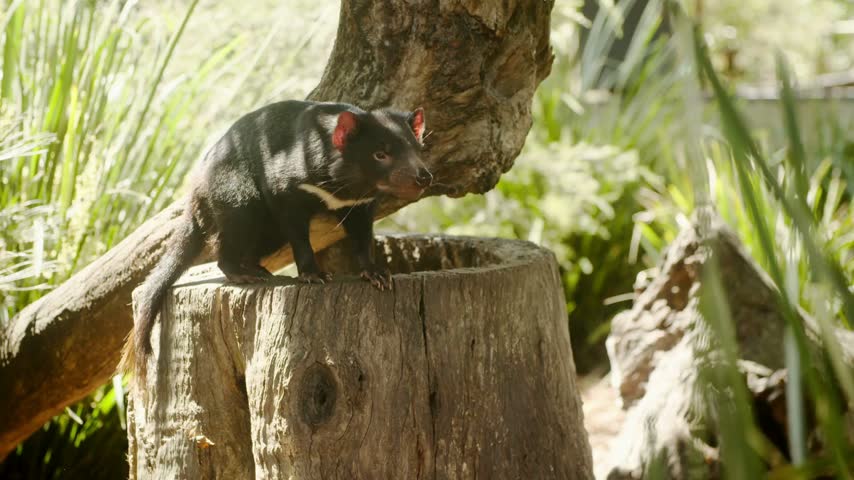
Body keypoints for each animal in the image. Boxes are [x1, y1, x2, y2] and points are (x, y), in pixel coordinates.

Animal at [120, 100, 432, 375]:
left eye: (419, 149)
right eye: (380, 154)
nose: (424, 176)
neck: (345, 190)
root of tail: (196, 192)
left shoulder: (361, 206)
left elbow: (363, 239)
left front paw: (378, 274)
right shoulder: (287, 192)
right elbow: (300, 239)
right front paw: (313, 275)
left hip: (267, 229)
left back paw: (258, 270)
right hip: (240, 197)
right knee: (226, 245)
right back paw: (243, 274)